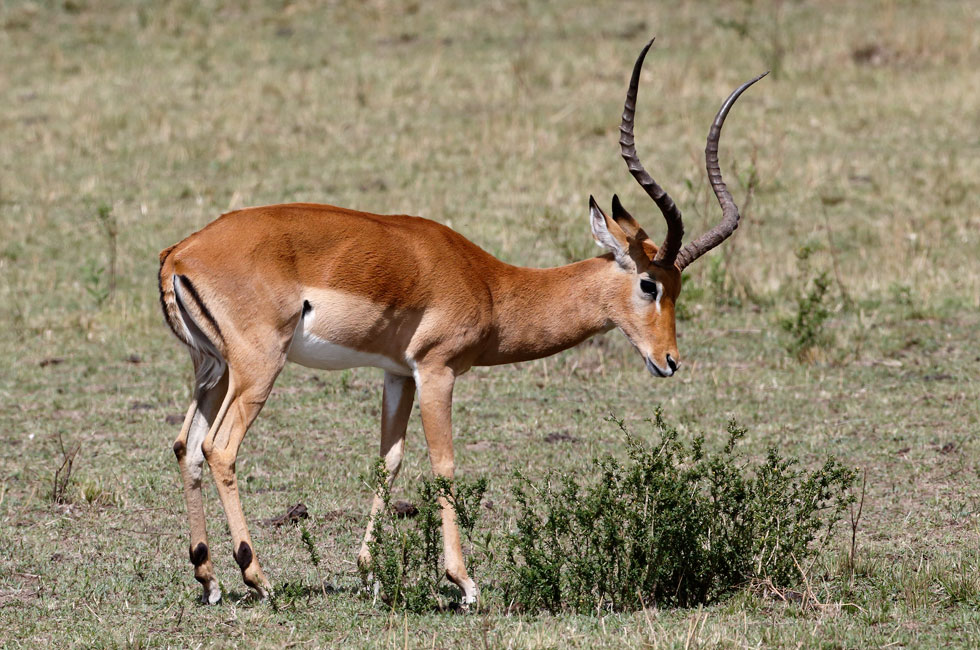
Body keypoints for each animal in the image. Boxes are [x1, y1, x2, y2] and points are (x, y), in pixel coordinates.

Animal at [157, 40, 764, 604]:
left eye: (678, 288)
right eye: (649, 284)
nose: (670, 361)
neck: (491, 284)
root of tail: (180, 253)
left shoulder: (397, 374)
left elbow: (389, 460)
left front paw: (369, 574)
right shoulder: (436, 370)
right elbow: (445, 463)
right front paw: (464, 582)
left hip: (213, 370)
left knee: (187, 445)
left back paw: (209, 579)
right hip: (258, 368)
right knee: (220, 448)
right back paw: (257, 578)